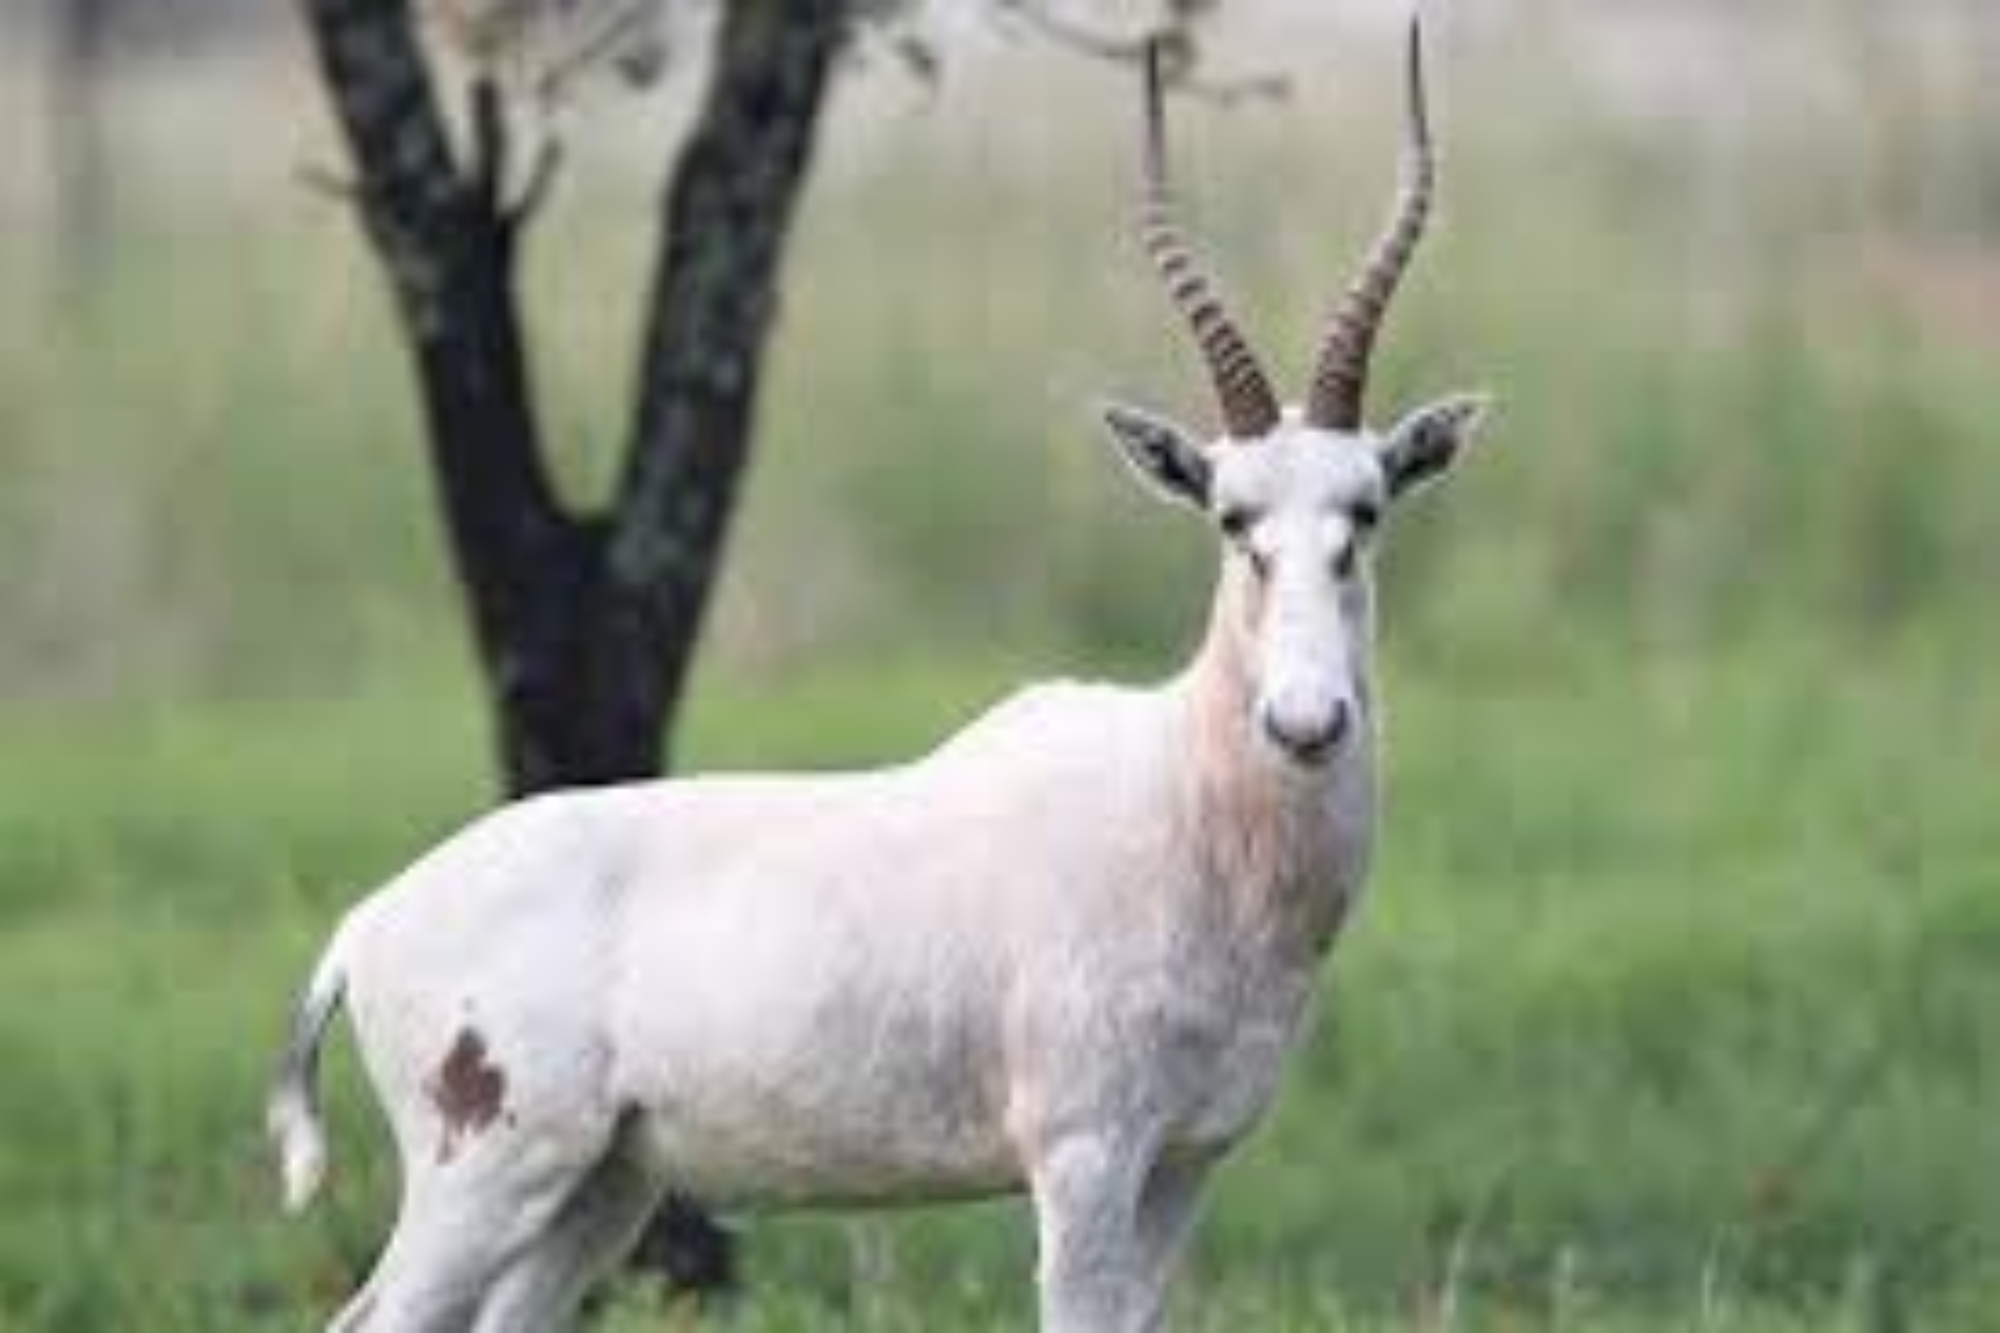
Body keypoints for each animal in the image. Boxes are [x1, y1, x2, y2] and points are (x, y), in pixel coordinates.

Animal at [270, 23, 1488, 1328]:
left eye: (1363, 510)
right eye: (1230, 518)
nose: (1305, 719)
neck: (1181, 801)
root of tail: (365, 924)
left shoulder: (1182, 1165)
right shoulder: (1083, 1158)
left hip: (595, 1191)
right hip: (484, 1181)